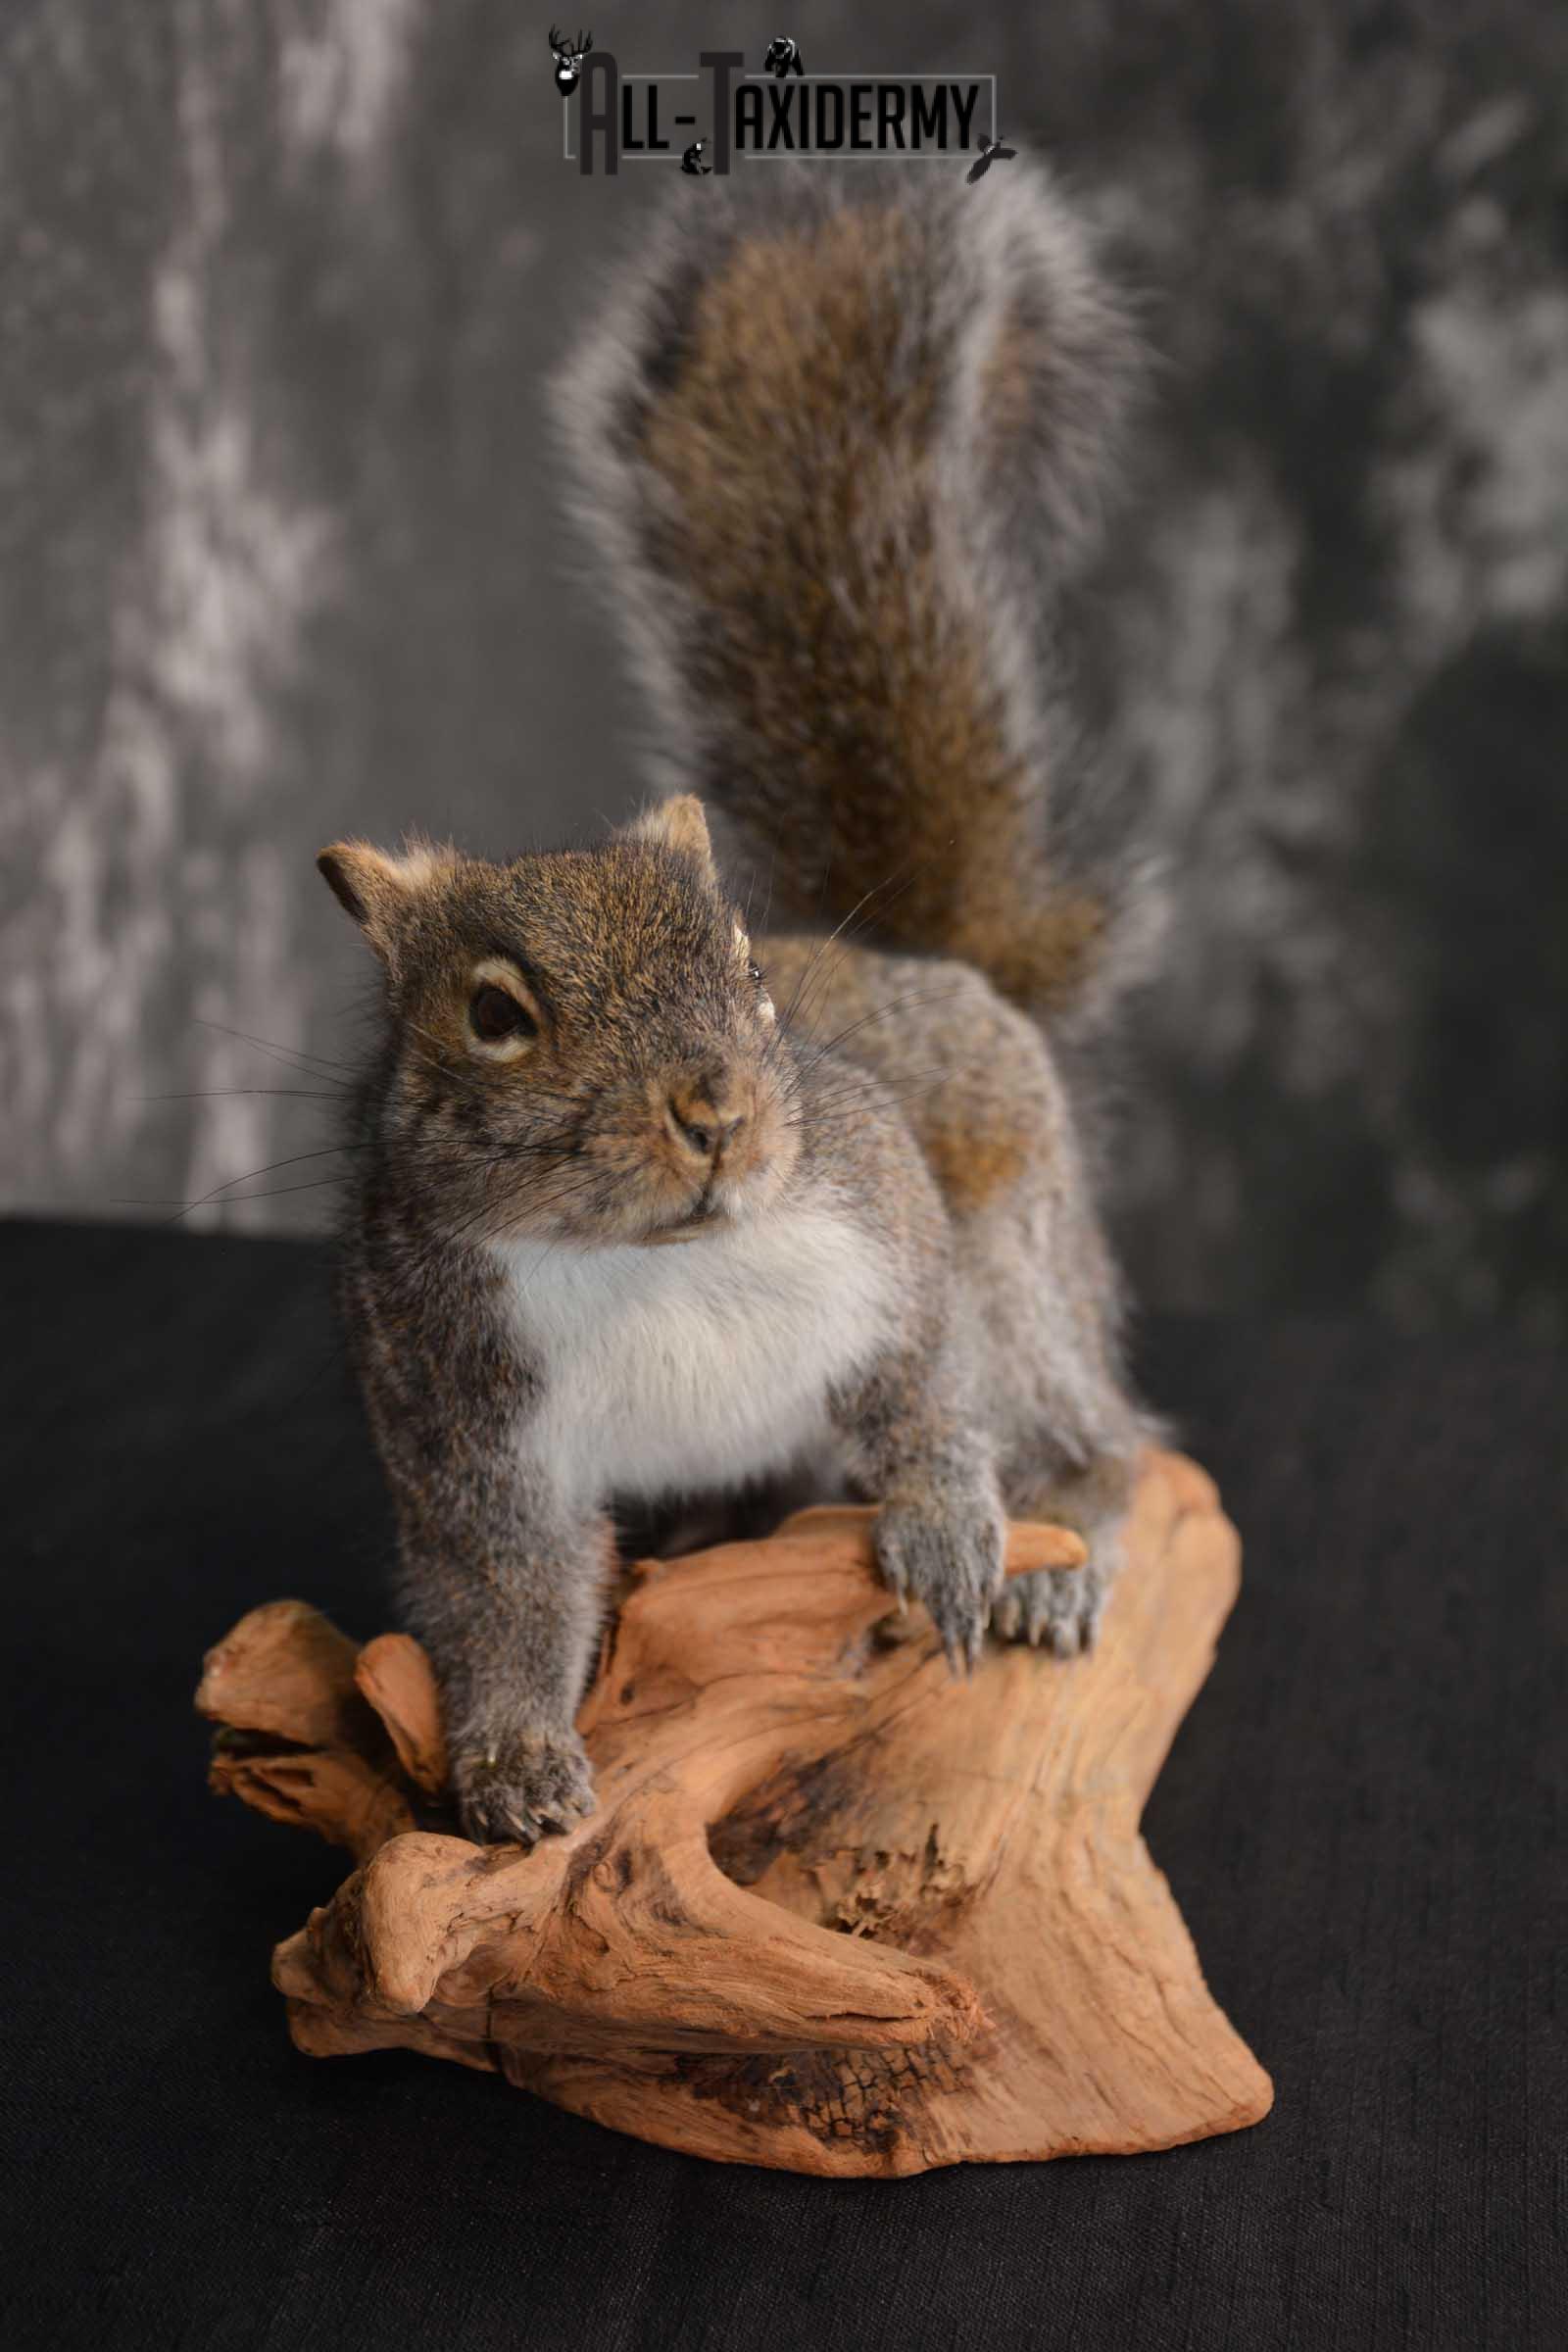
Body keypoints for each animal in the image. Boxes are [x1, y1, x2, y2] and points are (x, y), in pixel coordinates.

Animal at [318, 153, 1161, 1846]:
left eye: (750, 973)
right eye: (493, 1016)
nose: (714, 1112)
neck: (653, 1265)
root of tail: (936, 966)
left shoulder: (889, 1211)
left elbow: (927, 1388)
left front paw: (948, 1520)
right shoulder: (463, 1424)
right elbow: (500, 1599)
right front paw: (512, 1763)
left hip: (1021, 1246)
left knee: (1086, 1433)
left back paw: (1057, 1552)